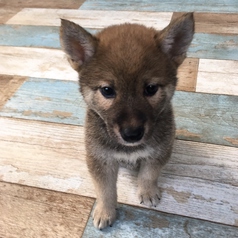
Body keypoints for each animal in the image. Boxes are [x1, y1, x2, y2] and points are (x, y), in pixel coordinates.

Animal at [60, 12, 194, 229]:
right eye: (107, 90)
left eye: (150, 88)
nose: (132, 134)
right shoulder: (100, 159)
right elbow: (105, 190)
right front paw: (105, 211)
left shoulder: (158, 152)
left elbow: (149, 174)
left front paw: (147, 192)